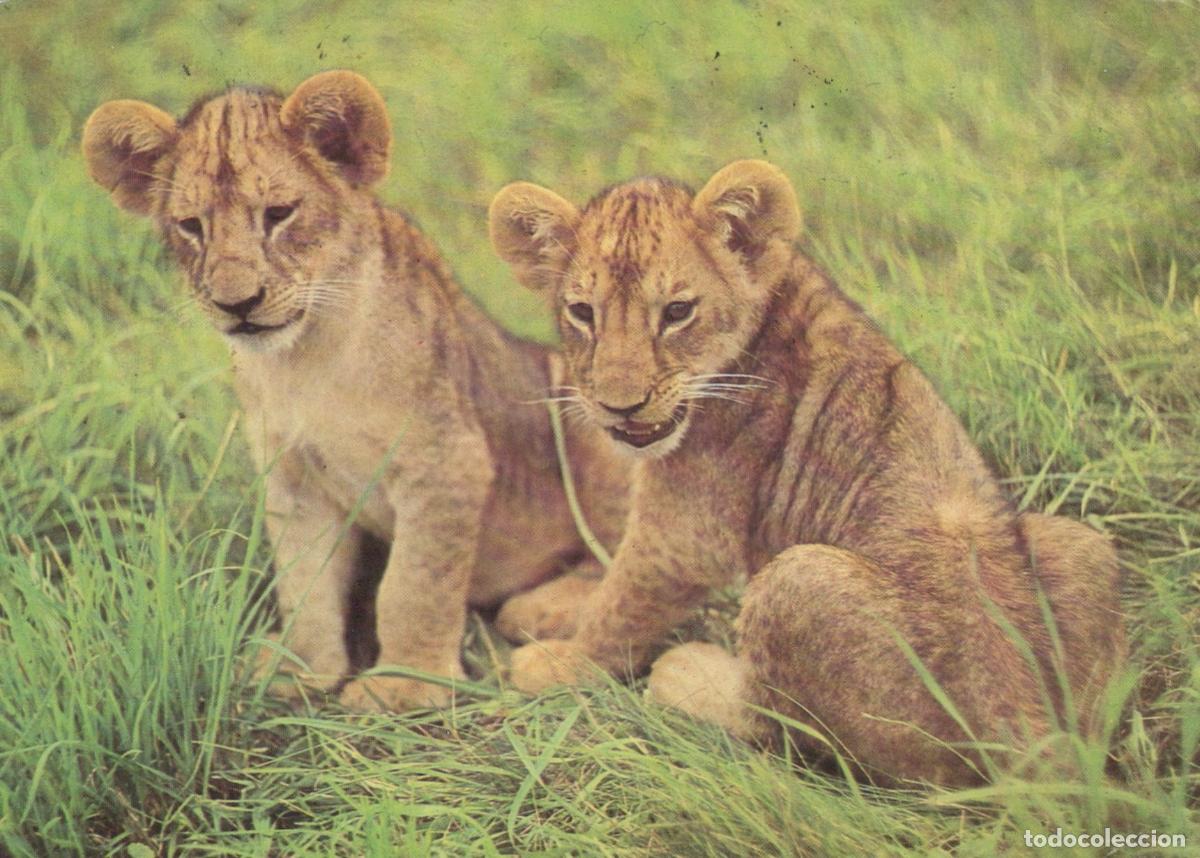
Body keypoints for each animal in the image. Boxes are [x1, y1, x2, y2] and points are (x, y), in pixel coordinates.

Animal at [82, 70, 628, 711]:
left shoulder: (447, 459)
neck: (304, 360)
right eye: (192, 226)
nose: (236, 303)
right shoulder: (292, 476)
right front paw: (299, 671)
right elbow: (304, 584)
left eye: (279, 214)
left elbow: (413, 585)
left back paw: (542, 610)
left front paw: (404, 685)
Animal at [487, 159, 1125, 784]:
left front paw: (559, 663)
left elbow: (623, 603)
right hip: (1081, 544)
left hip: (797, 578)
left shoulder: (686, 534)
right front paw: (547, 610)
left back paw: (684, 671)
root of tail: (1032, 730)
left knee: (783, 730)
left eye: (676, 312)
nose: (620, 406)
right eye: (582, 313)